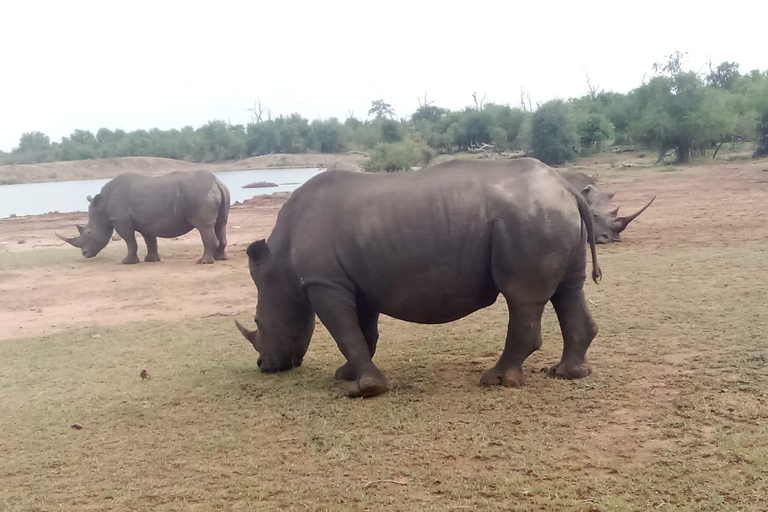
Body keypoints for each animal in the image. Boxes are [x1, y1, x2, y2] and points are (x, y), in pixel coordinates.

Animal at [58, 170, 230, 264]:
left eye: (88, 232)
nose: (85, 254)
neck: (102, 206)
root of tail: (217, 182)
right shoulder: (147, 221)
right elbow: (150, 240)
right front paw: (151, 260)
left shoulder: (120, 220)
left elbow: (130, 241)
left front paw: (127, 262)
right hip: (219, 192)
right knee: (221, 225)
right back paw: (220, 258)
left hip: (199, 193)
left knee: (204, 226)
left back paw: (203, 262)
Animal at [236, 158, 608, 398]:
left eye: (257, 321)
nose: (263, 365)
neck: (280, 262)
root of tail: (567, 189)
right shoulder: (355, 282)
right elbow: (363, 331)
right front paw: (347, 375)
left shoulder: (323, 282)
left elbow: (345, 333)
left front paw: (365, 389)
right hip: (549, 214)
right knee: (568, 289)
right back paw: (567, 374)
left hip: (529, 219)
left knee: (522, 296)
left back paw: (496, 381)